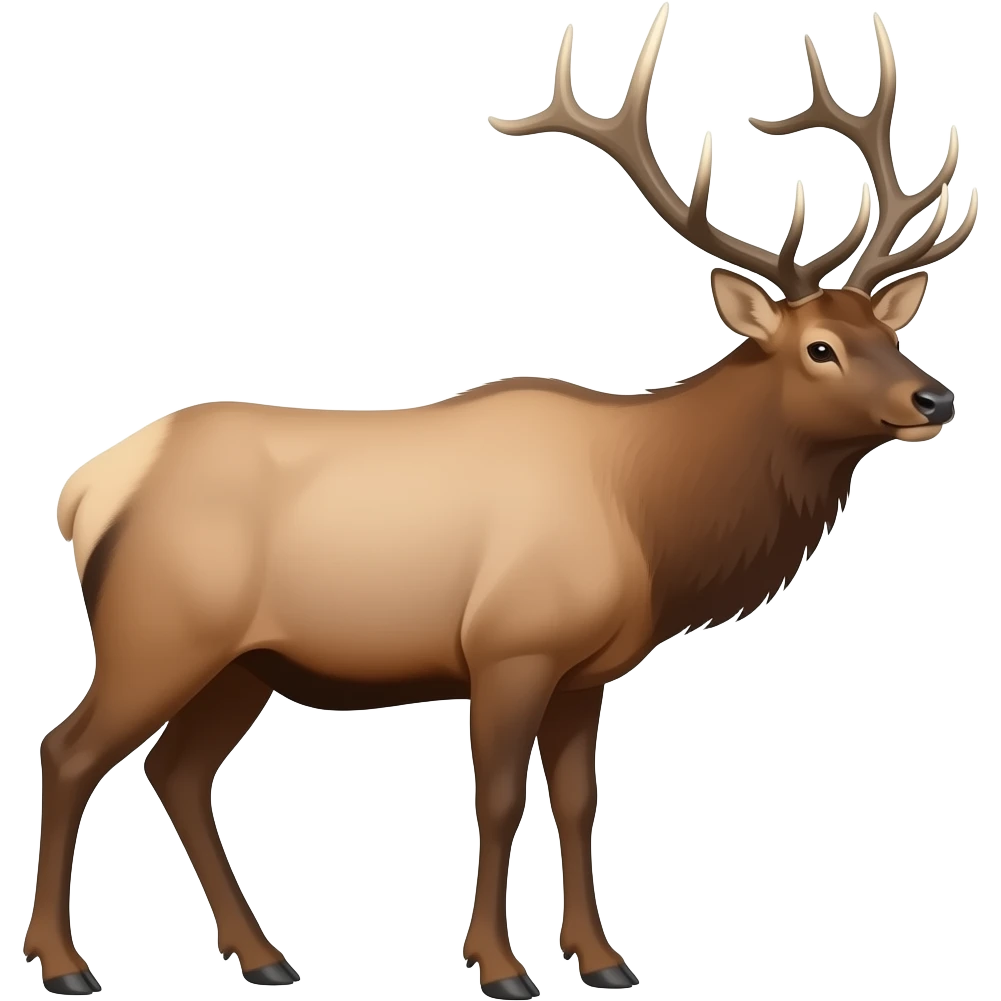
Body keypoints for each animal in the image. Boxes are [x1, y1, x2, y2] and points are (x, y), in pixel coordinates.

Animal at [26, 5, 976, 1000]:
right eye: (820, 348)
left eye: (890, 332)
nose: (934, 398)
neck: (650, 515)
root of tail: (85, 489)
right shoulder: (510, 644)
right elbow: (497, 798)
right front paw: (498, 963)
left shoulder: (587, 672)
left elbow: (579, 801)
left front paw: (603, 958)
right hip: (158, 631)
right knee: (69, 749)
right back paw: (64, 962)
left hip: (243, 662)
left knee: (176, 769)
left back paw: (263, 954)